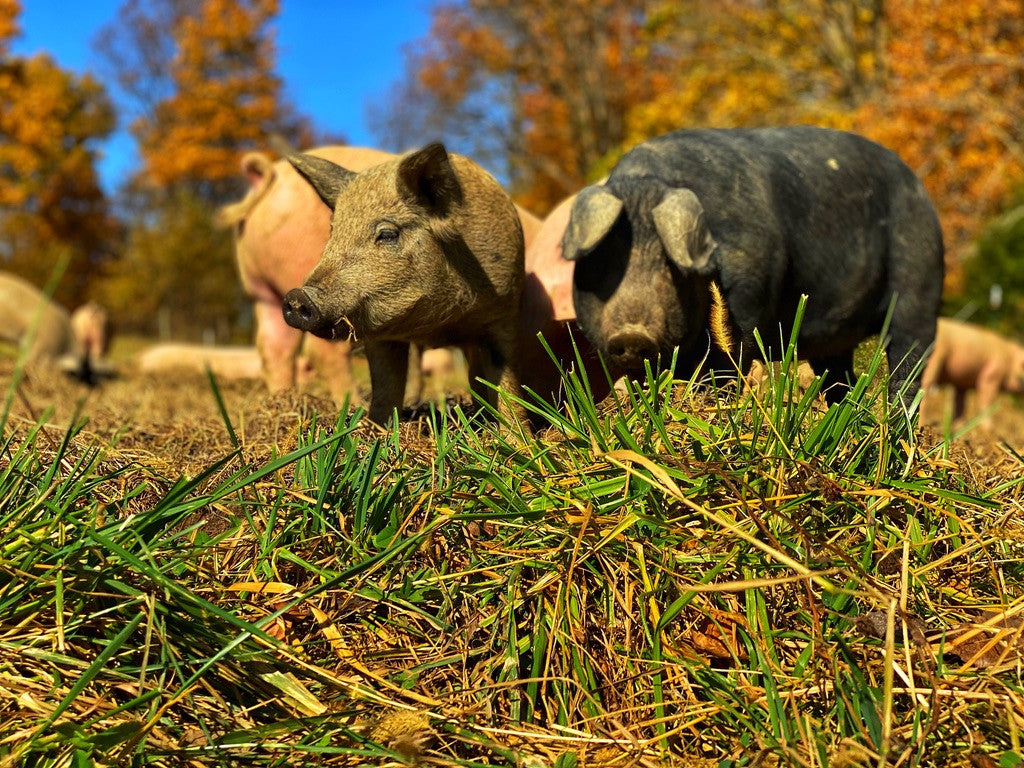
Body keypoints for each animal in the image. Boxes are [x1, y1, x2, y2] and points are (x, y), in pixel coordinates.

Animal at [216, 145, 542, 408]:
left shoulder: (499, 313)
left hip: (264, 293)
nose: (299, 296)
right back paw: (354, 407)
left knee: (272, 348)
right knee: (320, 352)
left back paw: (283, 403)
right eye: (333, 230)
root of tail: (269, 178)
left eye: (387, 234)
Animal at [563, 126, 945, 405]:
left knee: (910, 360)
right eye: (599, 264)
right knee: (841, 378)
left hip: (919, 283)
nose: (631, 334)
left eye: (672, 269)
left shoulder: (749, 288)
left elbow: (732, 355)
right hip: (835, 341)